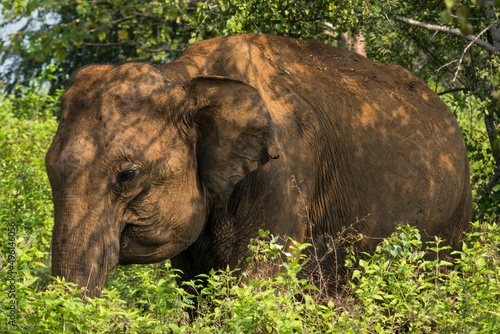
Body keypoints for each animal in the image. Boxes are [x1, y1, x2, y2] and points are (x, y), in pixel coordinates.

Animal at [45, 34, 470, 298]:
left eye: (128, 176)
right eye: (48, 169)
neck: (186, 78)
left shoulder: (285, 175)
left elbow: (259, 282)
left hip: (452, 217)